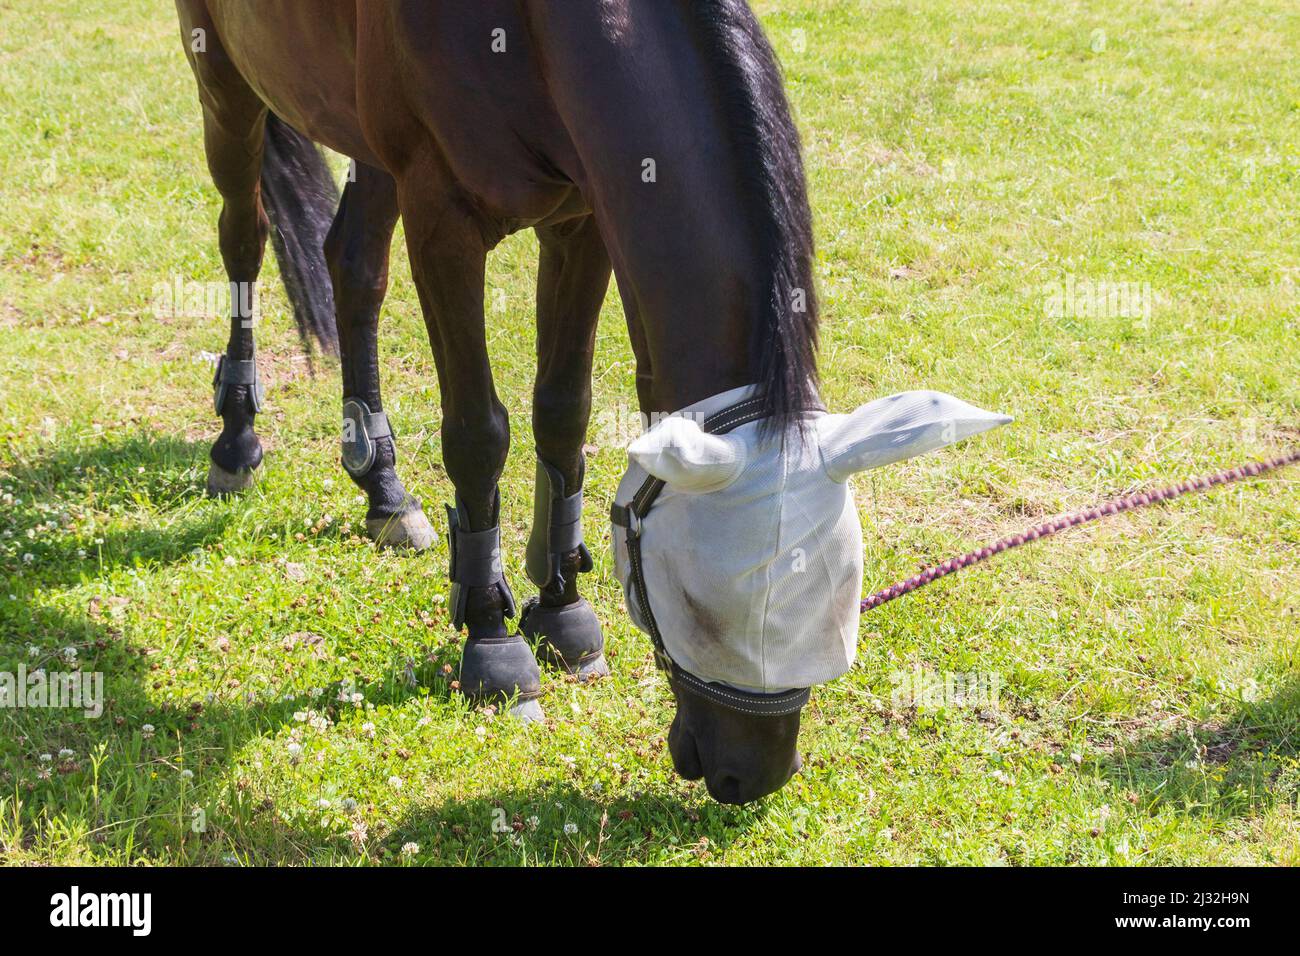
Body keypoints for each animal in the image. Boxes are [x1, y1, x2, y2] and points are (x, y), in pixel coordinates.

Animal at [175, 0, 1007, 804]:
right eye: (698, 604)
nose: (753, 776)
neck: (525, 27)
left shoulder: (580, 220)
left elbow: (562, 411)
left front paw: (561, 604)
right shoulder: (442, 219)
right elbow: (478, 432)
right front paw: (492, 634)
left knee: (353, 265)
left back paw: (383, 488)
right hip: (225, 84)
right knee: (244, 233)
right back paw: (236, 440)